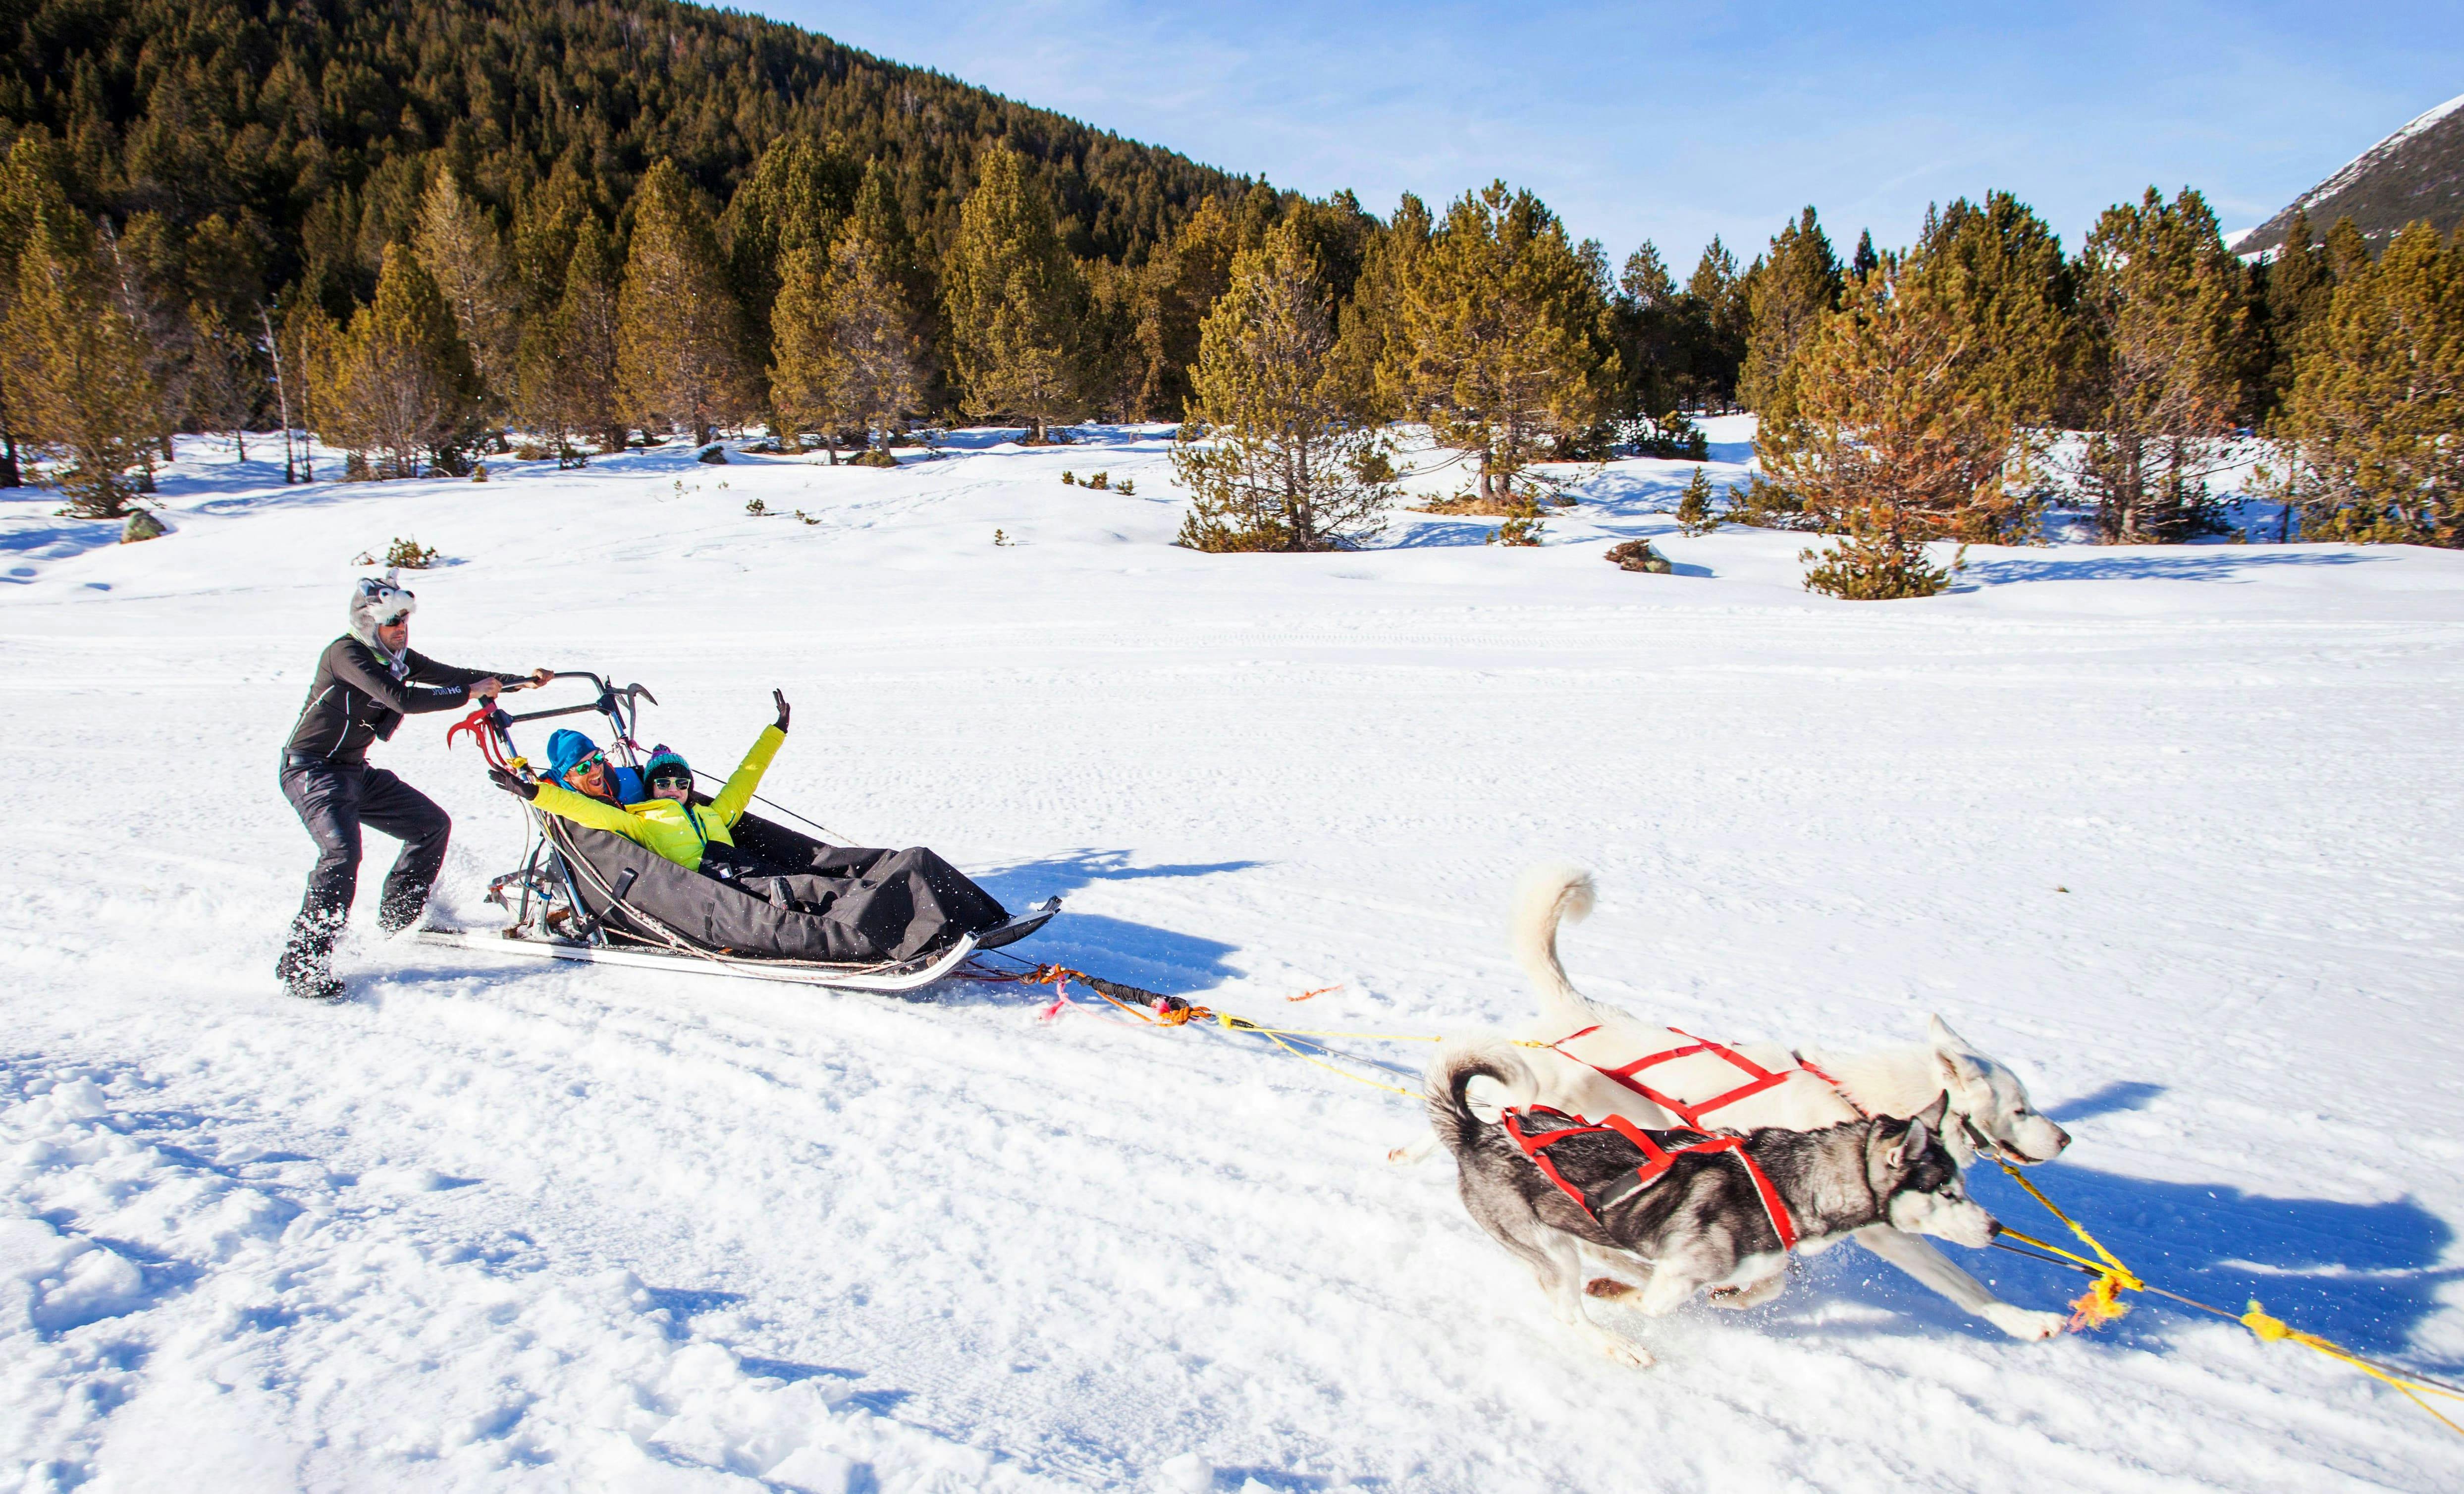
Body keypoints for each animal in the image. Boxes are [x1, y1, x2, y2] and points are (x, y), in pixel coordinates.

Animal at [1429, 1050, 2000, 1381]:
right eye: (1948, 1191)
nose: (1995, 1228)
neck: (1787, 1183)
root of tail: (1475, 1130)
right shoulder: (1680, 1276)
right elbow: (1654, 1303)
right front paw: (1616, 1294)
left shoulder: (1761, 1262)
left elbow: (1768, 1286)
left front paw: (1729, 1297)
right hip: (1547, 1248)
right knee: (1570, 1312)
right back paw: (1619, 1345)